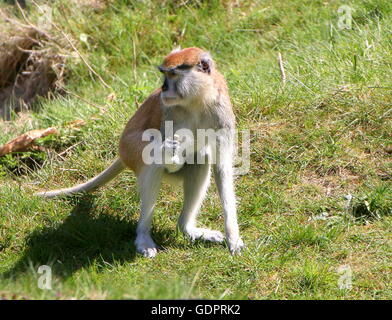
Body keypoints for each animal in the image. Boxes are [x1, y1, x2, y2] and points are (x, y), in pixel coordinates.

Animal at [36, 47, 245, 258]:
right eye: (164, 74)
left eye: (172, 75)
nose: (163, 88)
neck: (197, 100)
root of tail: (122, 155)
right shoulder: (170, 116)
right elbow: (168, 158)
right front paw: (169, 150)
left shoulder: (221, 116)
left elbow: (222, 169)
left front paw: (233, 237)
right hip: (129, 152)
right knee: (152, 162)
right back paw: (144, 237)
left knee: (201, 157)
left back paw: (186, 228)